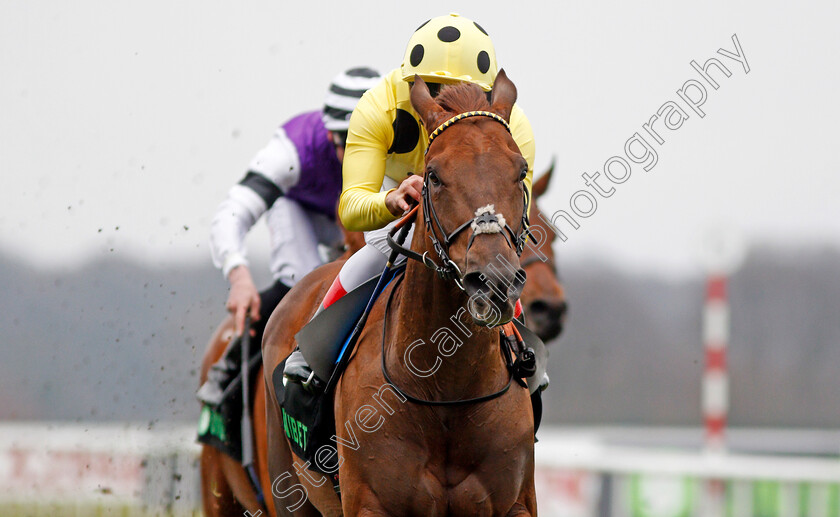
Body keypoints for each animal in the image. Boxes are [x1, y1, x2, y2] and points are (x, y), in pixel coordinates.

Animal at [264, 70, 540, 512]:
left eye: (520, 171)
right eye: (433, 176)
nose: (494, 280)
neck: (446, 387)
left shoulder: (516, 503)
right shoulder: (370, 503)